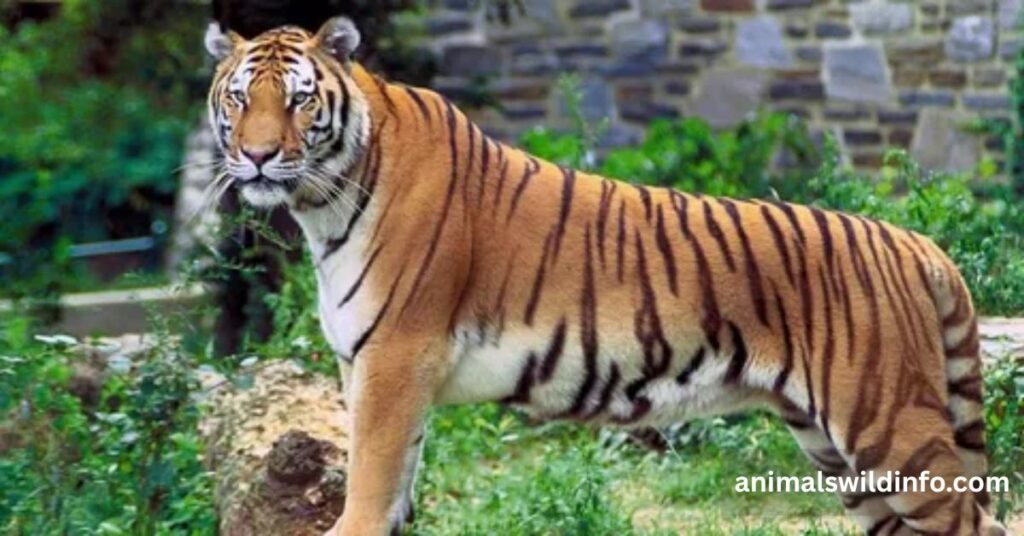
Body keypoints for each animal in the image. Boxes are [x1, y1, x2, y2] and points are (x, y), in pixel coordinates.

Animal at [204, 17, 1007, 536]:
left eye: (300, 98)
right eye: (240, 98)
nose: (259, 157)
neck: (324, 204)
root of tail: (914, 241)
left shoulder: (396, 359)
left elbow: (368, 489)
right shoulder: (373, 369)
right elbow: (396, 486)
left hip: (888, 426)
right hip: (838, 449)